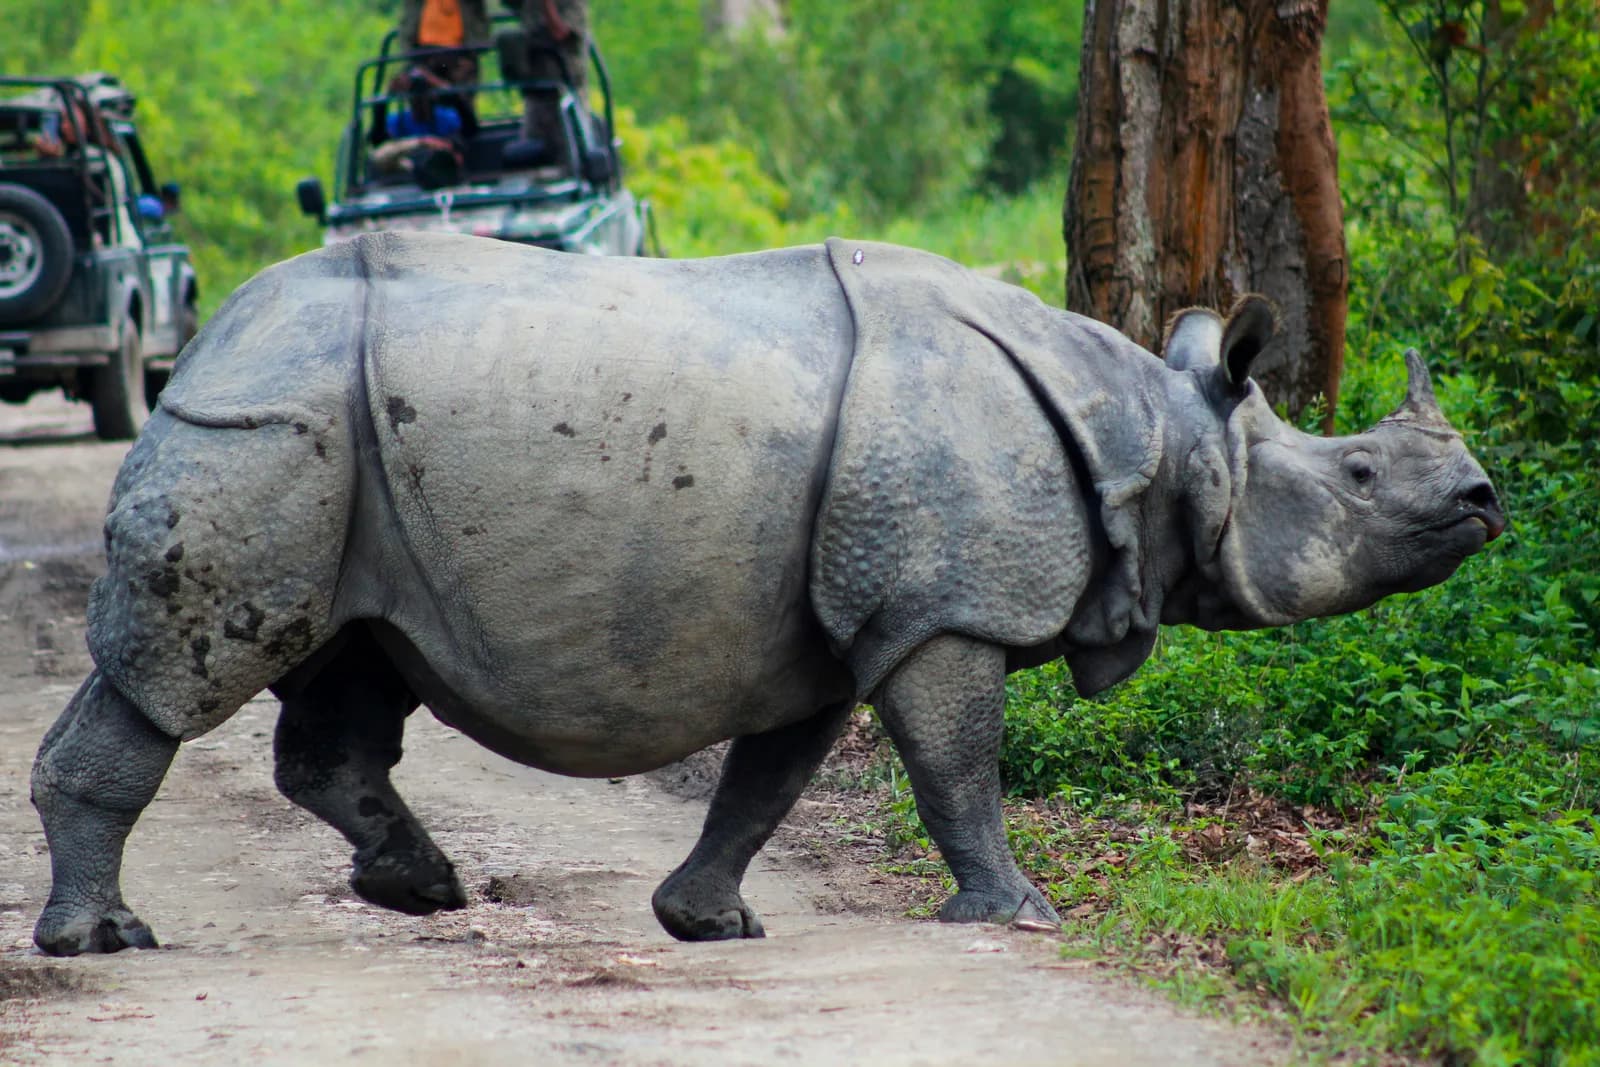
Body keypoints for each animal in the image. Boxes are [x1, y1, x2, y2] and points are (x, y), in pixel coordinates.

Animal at [31, 233, 1504, 956]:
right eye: (1359, 475)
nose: (1486, 499)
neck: (1155, 430)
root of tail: (213, 331)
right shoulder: (944, 606)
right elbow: (957, 764)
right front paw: (1017, 914)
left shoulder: (848, 617)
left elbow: (772, 774)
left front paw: (709, 921)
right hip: (274, 425)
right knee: (191, 668)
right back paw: (107, 940)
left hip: (342, 442)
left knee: (350, 667)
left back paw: (421, 888)